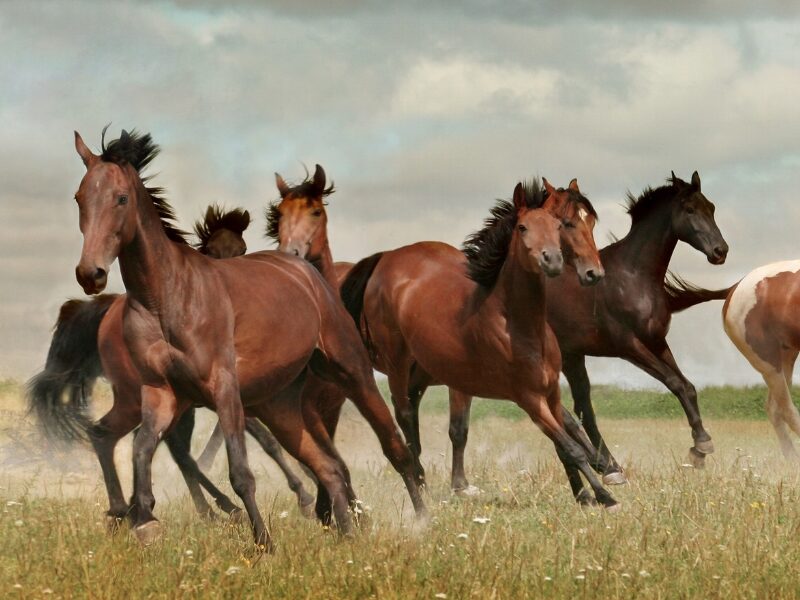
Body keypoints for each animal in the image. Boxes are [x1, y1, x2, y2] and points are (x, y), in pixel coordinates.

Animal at [28, 200, 316, 520]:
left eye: (242, 249)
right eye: (211, 251)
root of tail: (107, 312)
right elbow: (266, 440)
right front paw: (303, 494)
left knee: (164, 445)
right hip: (147, 398)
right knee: (166, 446)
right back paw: (212, 508)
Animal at [67, 126, 424, 548]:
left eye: (121, 198)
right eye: (79, 198)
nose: (90, 273)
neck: (166, 297)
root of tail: (306, 273)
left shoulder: (224, 389)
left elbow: (240, 471)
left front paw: (264, 543)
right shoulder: (160, 393)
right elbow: (142, 451)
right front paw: (144, 520)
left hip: (352, 374)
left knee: (393, 448)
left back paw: (423, 521)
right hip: (280, 406)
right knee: (330, 467)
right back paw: (347, 536)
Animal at [338, 178, 620, 506]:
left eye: (588, 222)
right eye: (568, 223)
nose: (593, 273)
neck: (518, 325)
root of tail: (386, 259)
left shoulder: (545, 391)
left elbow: (567, 434)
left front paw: (593, 485)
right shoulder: (527, 396)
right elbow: (569, 444)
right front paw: (603, 490)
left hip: (423, 376)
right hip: (397, 367)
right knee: (405, 417)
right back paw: (420, 482)